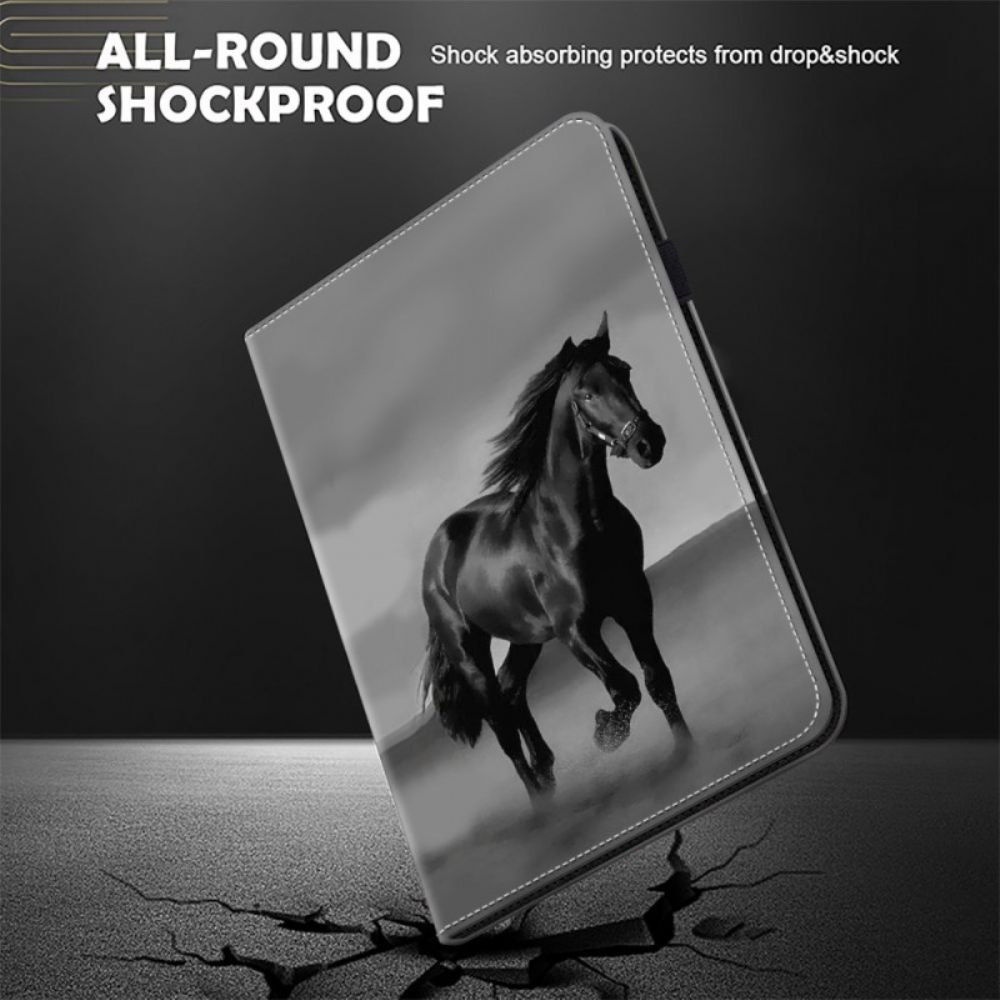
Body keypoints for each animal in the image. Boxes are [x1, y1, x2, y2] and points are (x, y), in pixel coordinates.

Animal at [419, 312, 691, 798]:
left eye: (624, 371)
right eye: (586, 393)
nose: (649, 443)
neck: (579, 524)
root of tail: (436, 553)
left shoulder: (634, 603)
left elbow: (657, 680)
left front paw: (686, 752)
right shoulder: (575, 630)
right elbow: (625, 687)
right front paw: (606, 733)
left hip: (525, 637)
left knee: (512, 693)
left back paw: (547, 774)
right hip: (469, 650)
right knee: (501, 724)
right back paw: (541, 800)